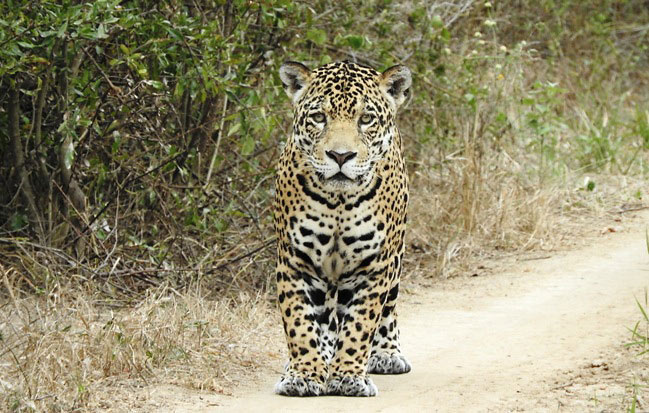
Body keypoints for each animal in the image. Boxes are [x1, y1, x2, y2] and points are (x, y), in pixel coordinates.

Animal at [273, 60, 412, 397]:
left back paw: (387, 354)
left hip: (395, 257)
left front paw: (348, 376)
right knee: (324, 314)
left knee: (387, 308)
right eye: (319, 118)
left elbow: (360, 324)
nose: (340, 156)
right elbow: (298, 321)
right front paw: (303, 374)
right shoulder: (295, 260)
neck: (337, 201)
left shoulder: (374, 266)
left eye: (366, 119)